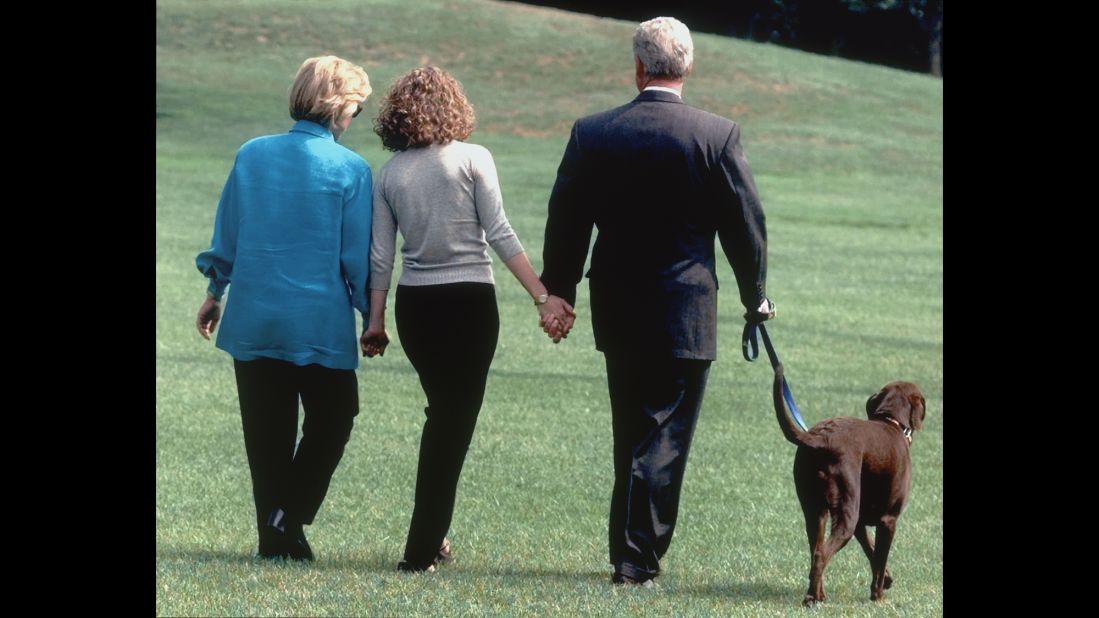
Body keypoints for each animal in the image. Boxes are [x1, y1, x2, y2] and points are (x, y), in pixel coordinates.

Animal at [773, 362, 927, 602]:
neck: (890, 421)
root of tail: (820, 439)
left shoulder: (861, 522)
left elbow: (872, 552)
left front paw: (888, 579)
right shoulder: (888, 520)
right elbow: (879, 560)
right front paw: (878, 596)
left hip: (816, 512)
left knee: (816, 552)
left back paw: (818, 595)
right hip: (846, 512)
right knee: (821, 555)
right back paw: (812, 599)